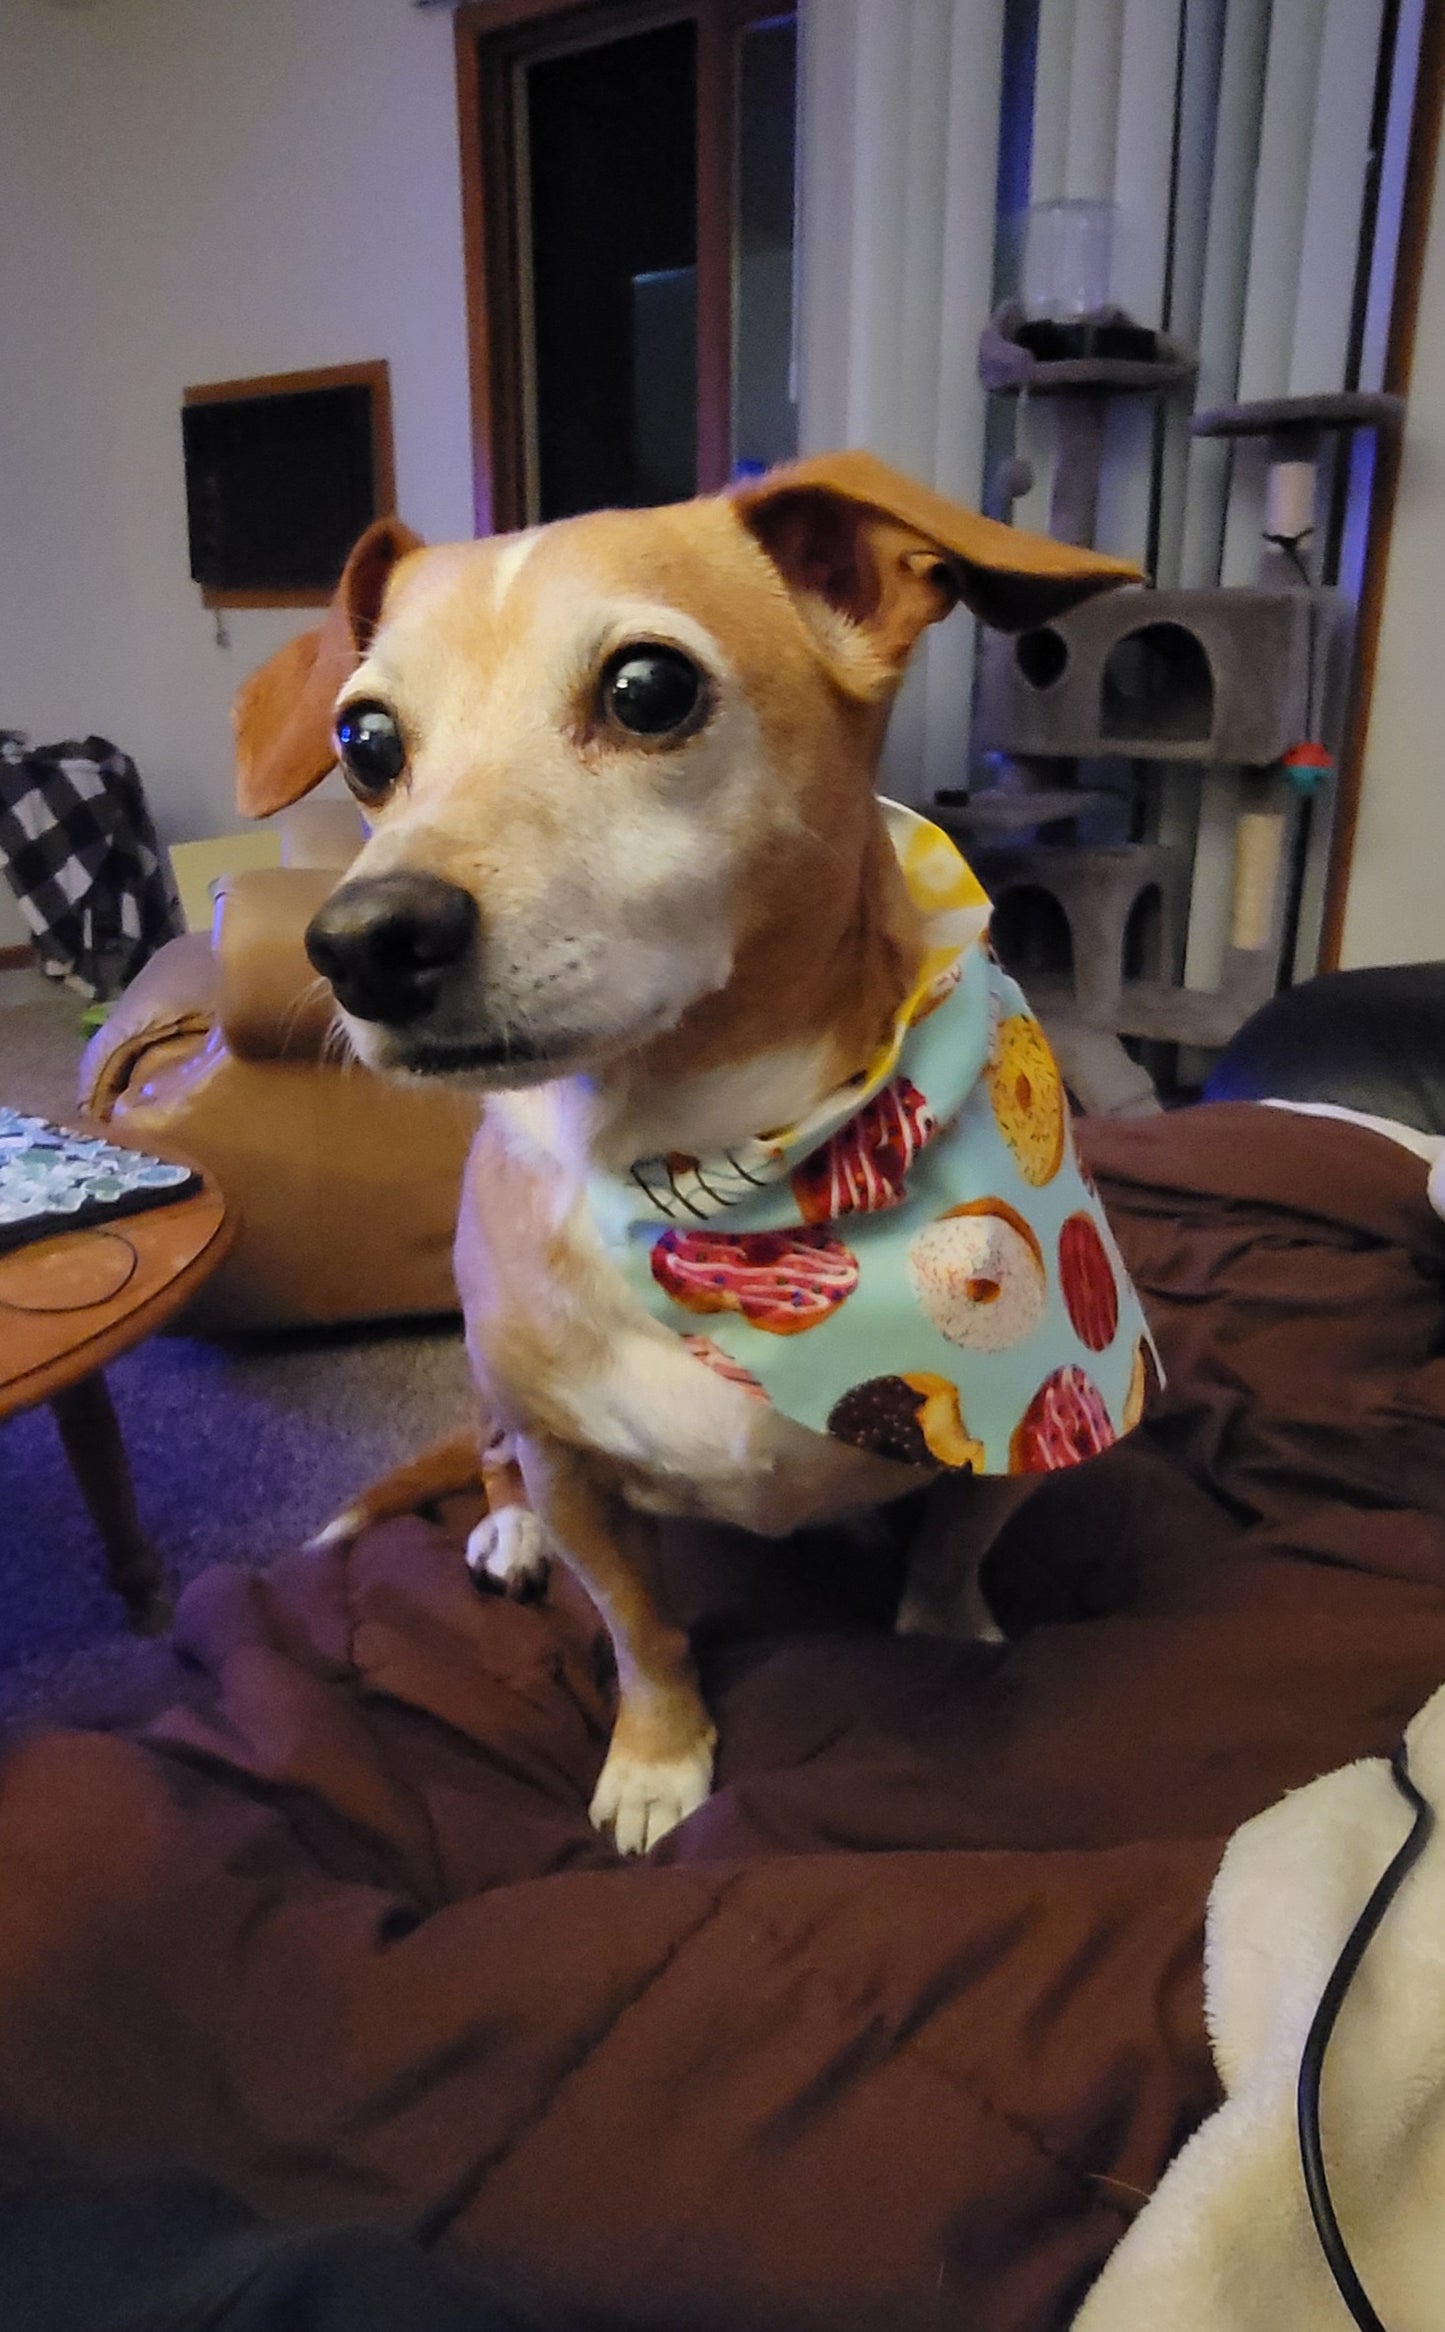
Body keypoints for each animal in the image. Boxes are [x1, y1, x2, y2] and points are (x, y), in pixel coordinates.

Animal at [242, 445, 1156, 1846]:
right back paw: (506, 1539)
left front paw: (941, 1638)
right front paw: (658, 1756)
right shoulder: (573, 1472)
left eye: (647, 687)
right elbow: (639, 1629)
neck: (705, 1168)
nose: (360, 943)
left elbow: (952, 1553)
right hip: (491, 1394)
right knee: (491, 1464)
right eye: (364, 742)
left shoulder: (1025, 1446)